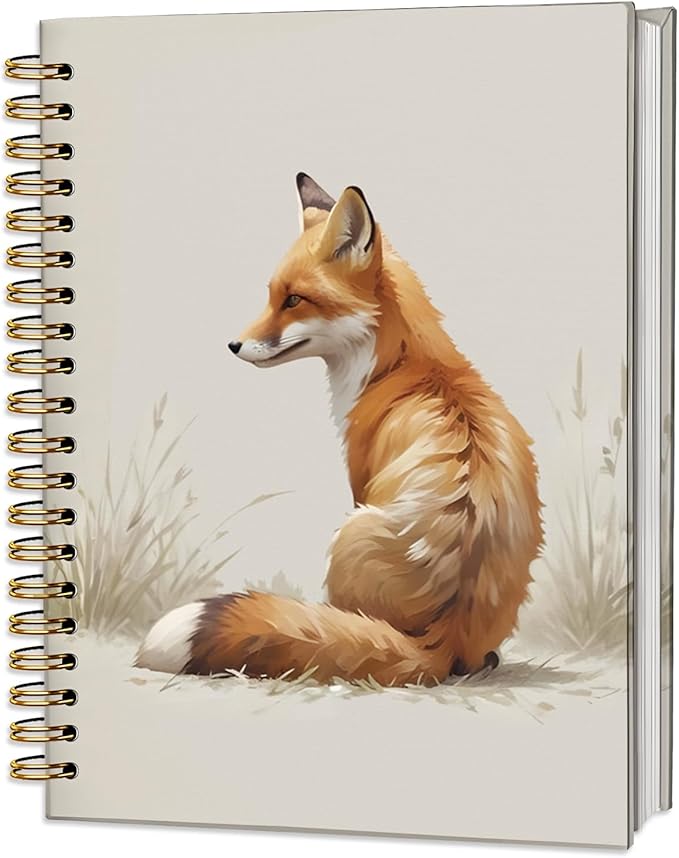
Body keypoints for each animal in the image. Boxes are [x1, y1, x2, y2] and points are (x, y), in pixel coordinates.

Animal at [136, 173, 543, 686]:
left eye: (293, 300)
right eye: (272, 296)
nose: (233, 345)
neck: (398, 366)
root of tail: (440, 641)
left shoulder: (358, 478)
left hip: (349, 531)